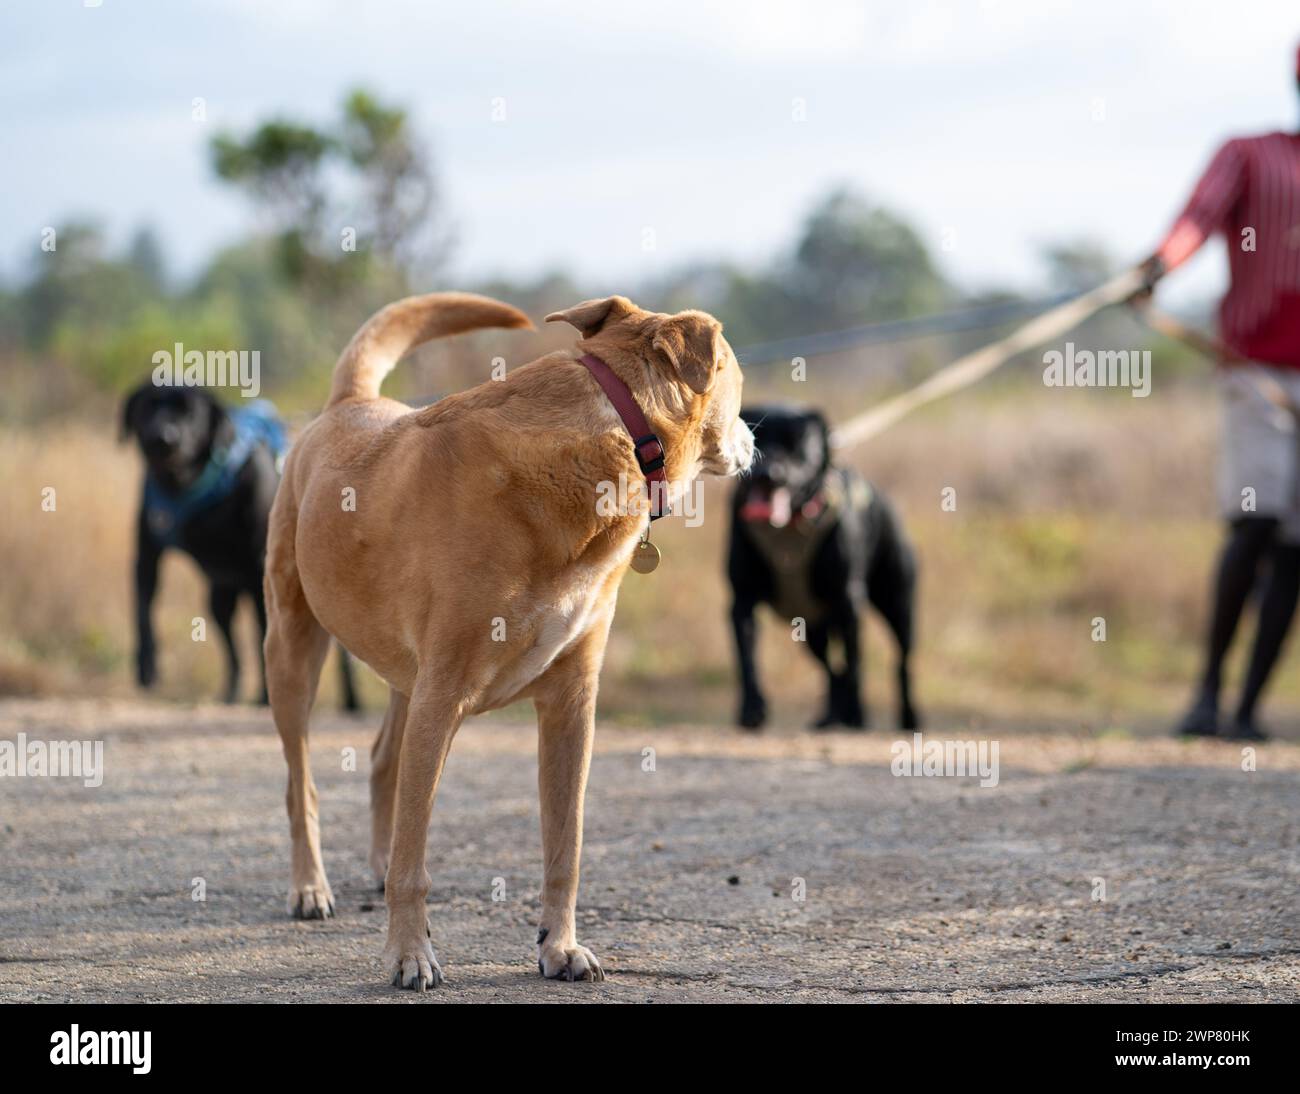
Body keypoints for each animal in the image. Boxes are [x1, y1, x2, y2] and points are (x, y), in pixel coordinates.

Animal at [122, 381, 358, 706]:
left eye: (191, 413)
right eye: (149, 405)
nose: (166, 437)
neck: (185, 486)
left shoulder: (261, 572)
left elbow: (262, 637)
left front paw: (265, 695)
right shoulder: (146, 559)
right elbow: (143, 613)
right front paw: (147, 665)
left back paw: (348, 701)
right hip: (220, 597)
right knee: (232, 649)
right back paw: (230, 693)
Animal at [263, 289, 754, 987]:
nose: (755, 438)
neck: (611, 434)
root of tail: (350, 402)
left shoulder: (571, 703)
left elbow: (564, 844)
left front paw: (560, 946)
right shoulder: (443, 695)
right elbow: (416, 862)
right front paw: (409, 953)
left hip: (404, 679)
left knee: (384, 760)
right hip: (294, 650)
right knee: (300, 782)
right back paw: (310, 887)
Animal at [728, 405, 920, 727]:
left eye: (797, 445)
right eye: (756, 437)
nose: (769, 474)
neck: (788, 526)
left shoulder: (847, 600)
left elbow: (855, 663)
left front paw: (856, 714)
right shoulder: (741, 601)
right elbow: (746, 659)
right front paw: (752, 709)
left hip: (897, 605)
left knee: (901, 661)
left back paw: (907, 717)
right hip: (811, 629)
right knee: (832, 668)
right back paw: (830, 716)